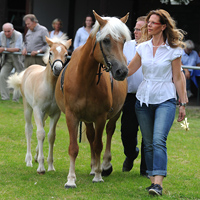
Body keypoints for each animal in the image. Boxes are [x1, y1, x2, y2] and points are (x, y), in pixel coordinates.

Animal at [7, 36, 71, 173]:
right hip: (28, 108)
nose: (57, 69)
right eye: (51, 52)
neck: (49, 87)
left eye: (66, 54)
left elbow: (51, 136)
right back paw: (29, 160)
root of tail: (29, 69)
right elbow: (40, 134)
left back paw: (36, 156)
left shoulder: (55, 114)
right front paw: (41, 167)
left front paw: (51, 166)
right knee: (29, 129)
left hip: (45, 115)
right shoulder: (38, 110)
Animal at [55, 10, 131, 188]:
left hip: (114, 114)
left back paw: (104, 165)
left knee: (109, 132)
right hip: (87, 118)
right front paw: (71, 179)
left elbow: (98, 144)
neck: (84, 79)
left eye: (123, 41)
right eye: (106, 40)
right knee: (90, 135)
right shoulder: (72, 116)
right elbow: (74, 148)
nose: (122, 71)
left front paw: (98, 174)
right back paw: (92, 166)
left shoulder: (101, 117)